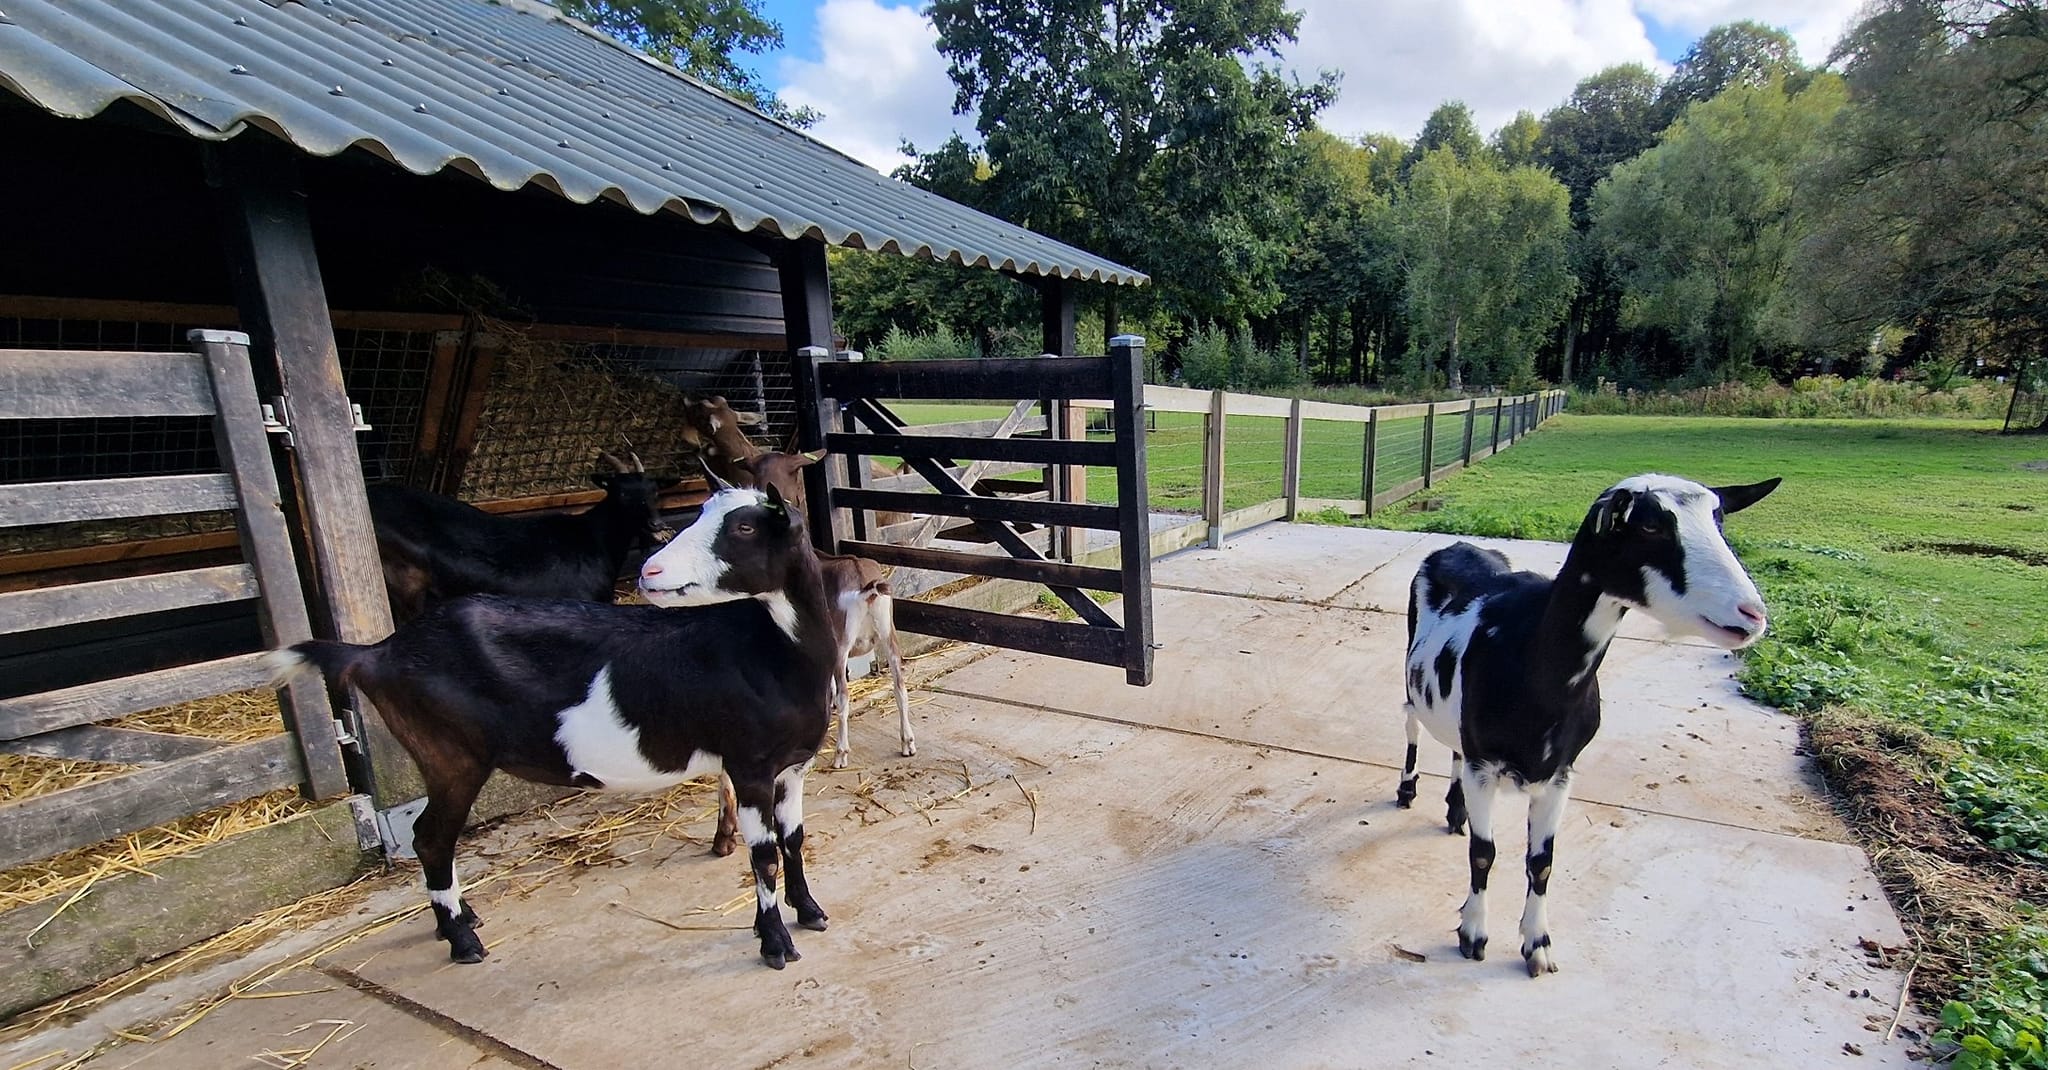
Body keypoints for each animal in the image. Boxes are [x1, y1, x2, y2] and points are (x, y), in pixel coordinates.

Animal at [270, 483, 831, 967]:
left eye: (744, 527)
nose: (649, 570)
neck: (773, 654)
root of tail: (378, 652)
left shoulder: (792, 767)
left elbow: (794, 838)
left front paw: (809, 913)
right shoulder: (749, 764)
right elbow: (763, 855)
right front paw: (775, 943)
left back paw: (461, 916)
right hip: (449, 753)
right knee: (429, 837)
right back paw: (462, 939)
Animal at [1392, 475, 1777, 975]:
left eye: (1720, 520)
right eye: (1650, 526)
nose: (1752, 614)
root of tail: (1455, 545)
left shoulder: (1561, 772)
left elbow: (1542, 860)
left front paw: (1537, 945)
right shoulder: (1485, 763)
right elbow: (1484, 852)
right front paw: (1473, 935)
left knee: (1453, 743)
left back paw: (1456, 811)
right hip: (1414, 672)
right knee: (1413, 724)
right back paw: (1407, 790)